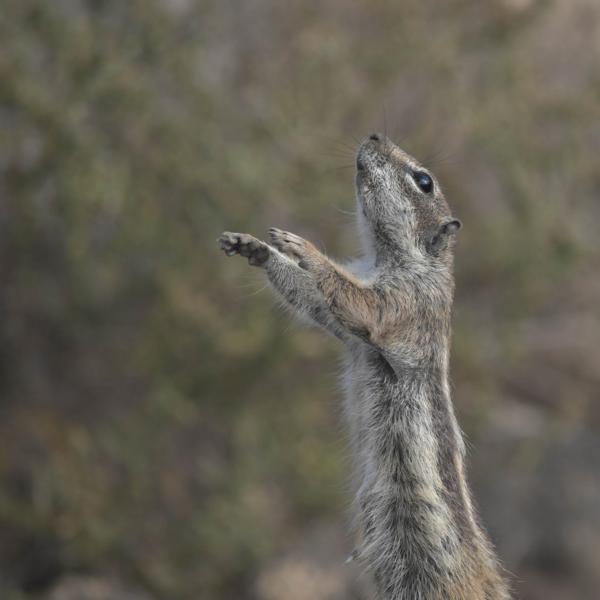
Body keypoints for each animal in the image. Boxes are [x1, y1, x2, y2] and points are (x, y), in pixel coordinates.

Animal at [218, 134, 508, 596]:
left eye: (424, 181)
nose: (375, 136)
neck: (387, 259)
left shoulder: (409, 300)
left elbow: (362, 305)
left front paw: (302, 247)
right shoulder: (344, 318)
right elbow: (318, 300)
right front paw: (256, 248)